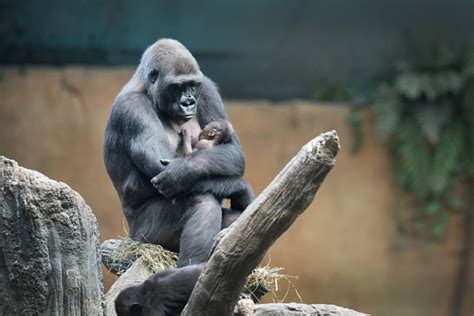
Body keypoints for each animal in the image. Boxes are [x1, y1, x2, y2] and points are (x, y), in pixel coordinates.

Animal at [104, 38, 248, 268]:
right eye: (178, 86)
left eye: (193, 85)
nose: (188, 102)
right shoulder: (133, 108)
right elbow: (161, 165)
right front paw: (241, 187)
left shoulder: (207, 89)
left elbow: (234, 151)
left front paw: (185, 170)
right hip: (145, 235)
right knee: (201, 199)